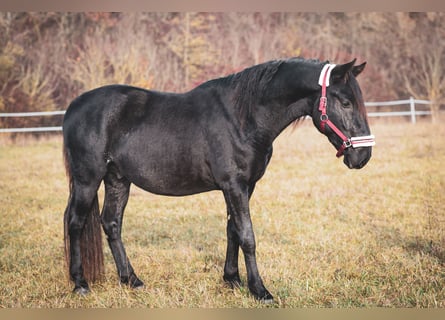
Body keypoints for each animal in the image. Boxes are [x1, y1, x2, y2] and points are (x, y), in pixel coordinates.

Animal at [62, 57, 372, 302]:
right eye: (345, 102)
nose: (363, 156)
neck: (242, 117)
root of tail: (73, 107)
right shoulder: (234, 185)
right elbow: (247, 235)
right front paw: (259, 290)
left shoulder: (244, 186)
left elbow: (232, 229)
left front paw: (232, 279)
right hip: (88, 179)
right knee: (75, 223)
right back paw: (80, 284)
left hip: (118, 178)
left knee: (111, 223)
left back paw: (131, 280)